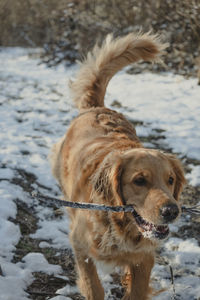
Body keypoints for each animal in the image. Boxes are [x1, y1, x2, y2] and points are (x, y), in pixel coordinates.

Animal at [50, 32, 186, 300]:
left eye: (171, 180)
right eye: (139, 180)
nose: (171, 212)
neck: (119, 225)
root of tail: (96, 108)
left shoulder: (144, 257)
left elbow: (136, 288)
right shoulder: (80, 247)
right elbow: (92, 285)